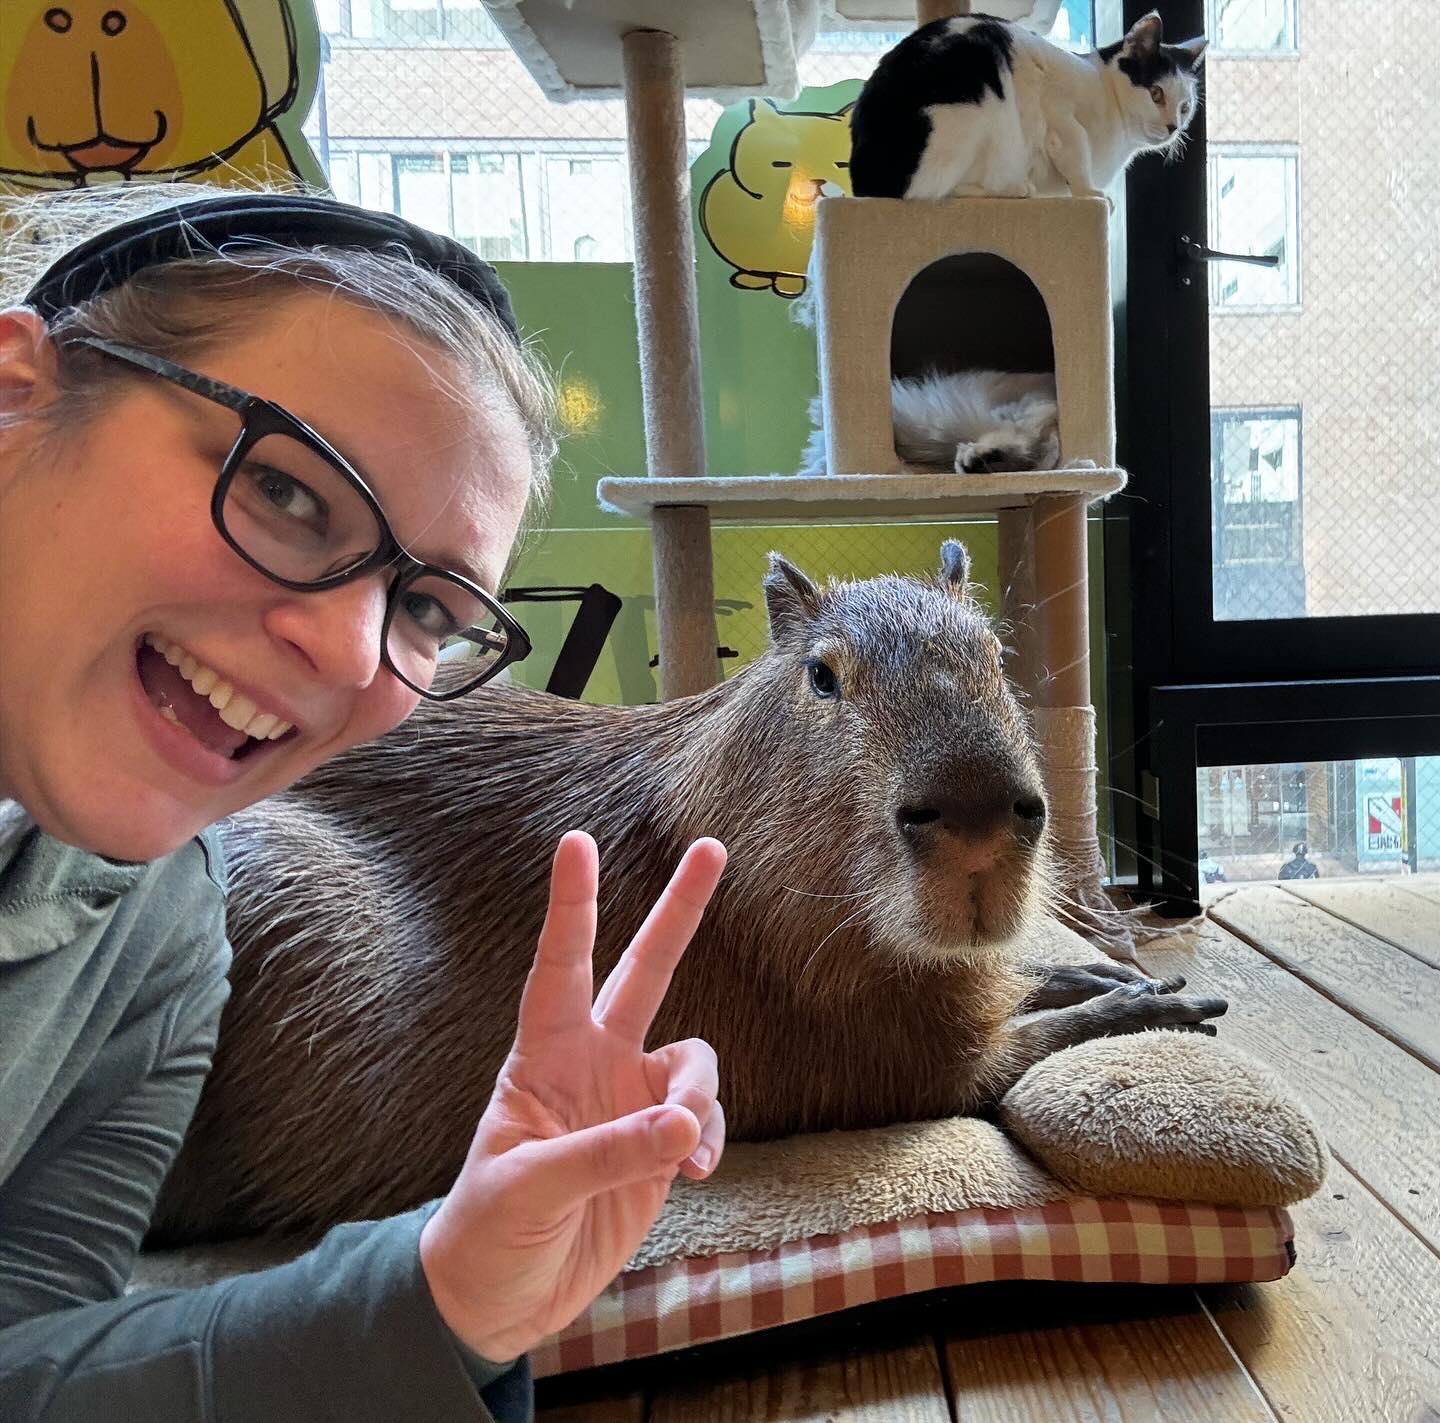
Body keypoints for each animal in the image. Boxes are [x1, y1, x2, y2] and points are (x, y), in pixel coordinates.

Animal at [846, 10, 1209, 200]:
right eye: (1156, 93)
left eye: (1185, 107)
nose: (1173, 127)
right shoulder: (1061, 118)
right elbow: (1077, 158)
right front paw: (1090, 193)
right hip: (974, 118)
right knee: (931, 191)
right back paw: (1015, 189)